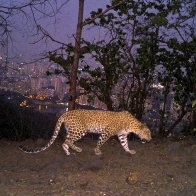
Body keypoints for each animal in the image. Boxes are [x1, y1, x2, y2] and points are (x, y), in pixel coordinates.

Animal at [19, 109, 152, 155]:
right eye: (148, 133)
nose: (150, 139)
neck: (131, 125)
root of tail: (65, 113)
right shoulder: (106, 132)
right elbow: (100, 142)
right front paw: (97, 151)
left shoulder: (122, 135)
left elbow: (125, 144)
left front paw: (129, 151)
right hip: (80, 130)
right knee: (67, 140)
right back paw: (77, 149)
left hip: (72, 130)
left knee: (65, 141)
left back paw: (68, 152)